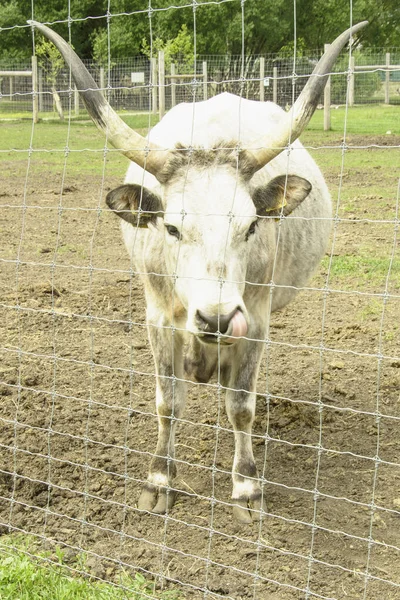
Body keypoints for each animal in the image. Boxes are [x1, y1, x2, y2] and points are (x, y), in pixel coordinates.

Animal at [30, 21, 368, 524]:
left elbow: (241, 405)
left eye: (251, 227)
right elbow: (168, 402)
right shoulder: (157, 315)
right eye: (171, 227)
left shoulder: (256, 318)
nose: (218, 318)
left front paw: (246, 487)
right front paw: (159, 480)